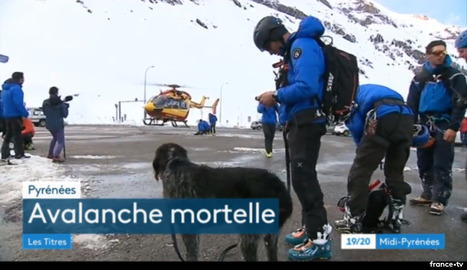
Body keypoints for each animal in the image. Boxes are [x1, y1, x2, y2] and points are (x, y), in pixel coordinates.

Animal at [153, 142, 292, 260]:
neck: (175, 163)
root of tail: (278, 185)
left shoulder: (188, 229)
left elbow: (191, 254)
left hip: (247, 236)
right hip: (270, 236)